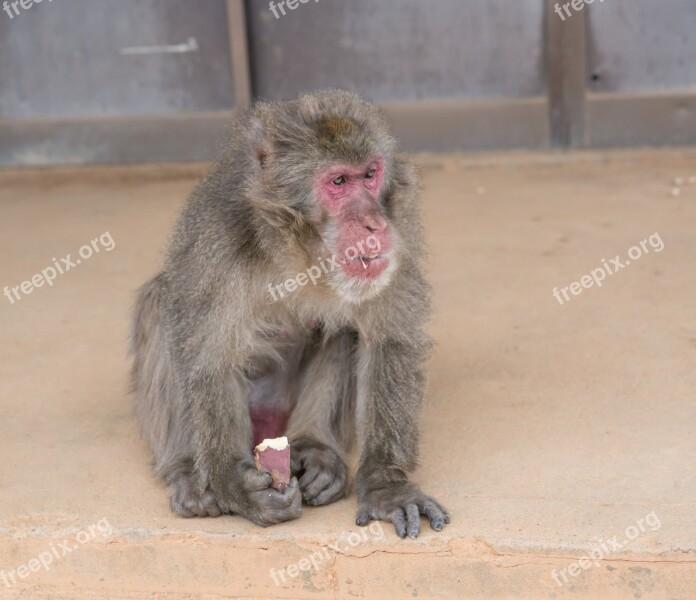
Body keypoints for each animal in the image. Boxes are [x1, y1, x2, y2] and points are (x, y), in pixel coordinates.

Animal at [130, 89, 452, 540]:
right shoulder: (217, 236)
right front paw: (236, 487)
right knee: (161, 305)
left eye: (370, 174)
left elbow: (388, 339)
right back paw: (189, 474)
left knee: (347, 330)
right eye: (338, 182)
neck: (296, 248)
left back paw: (317, 452)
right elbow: (210, 361)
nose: (374, 223)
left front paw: (387, 487)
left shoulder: (399, 225)